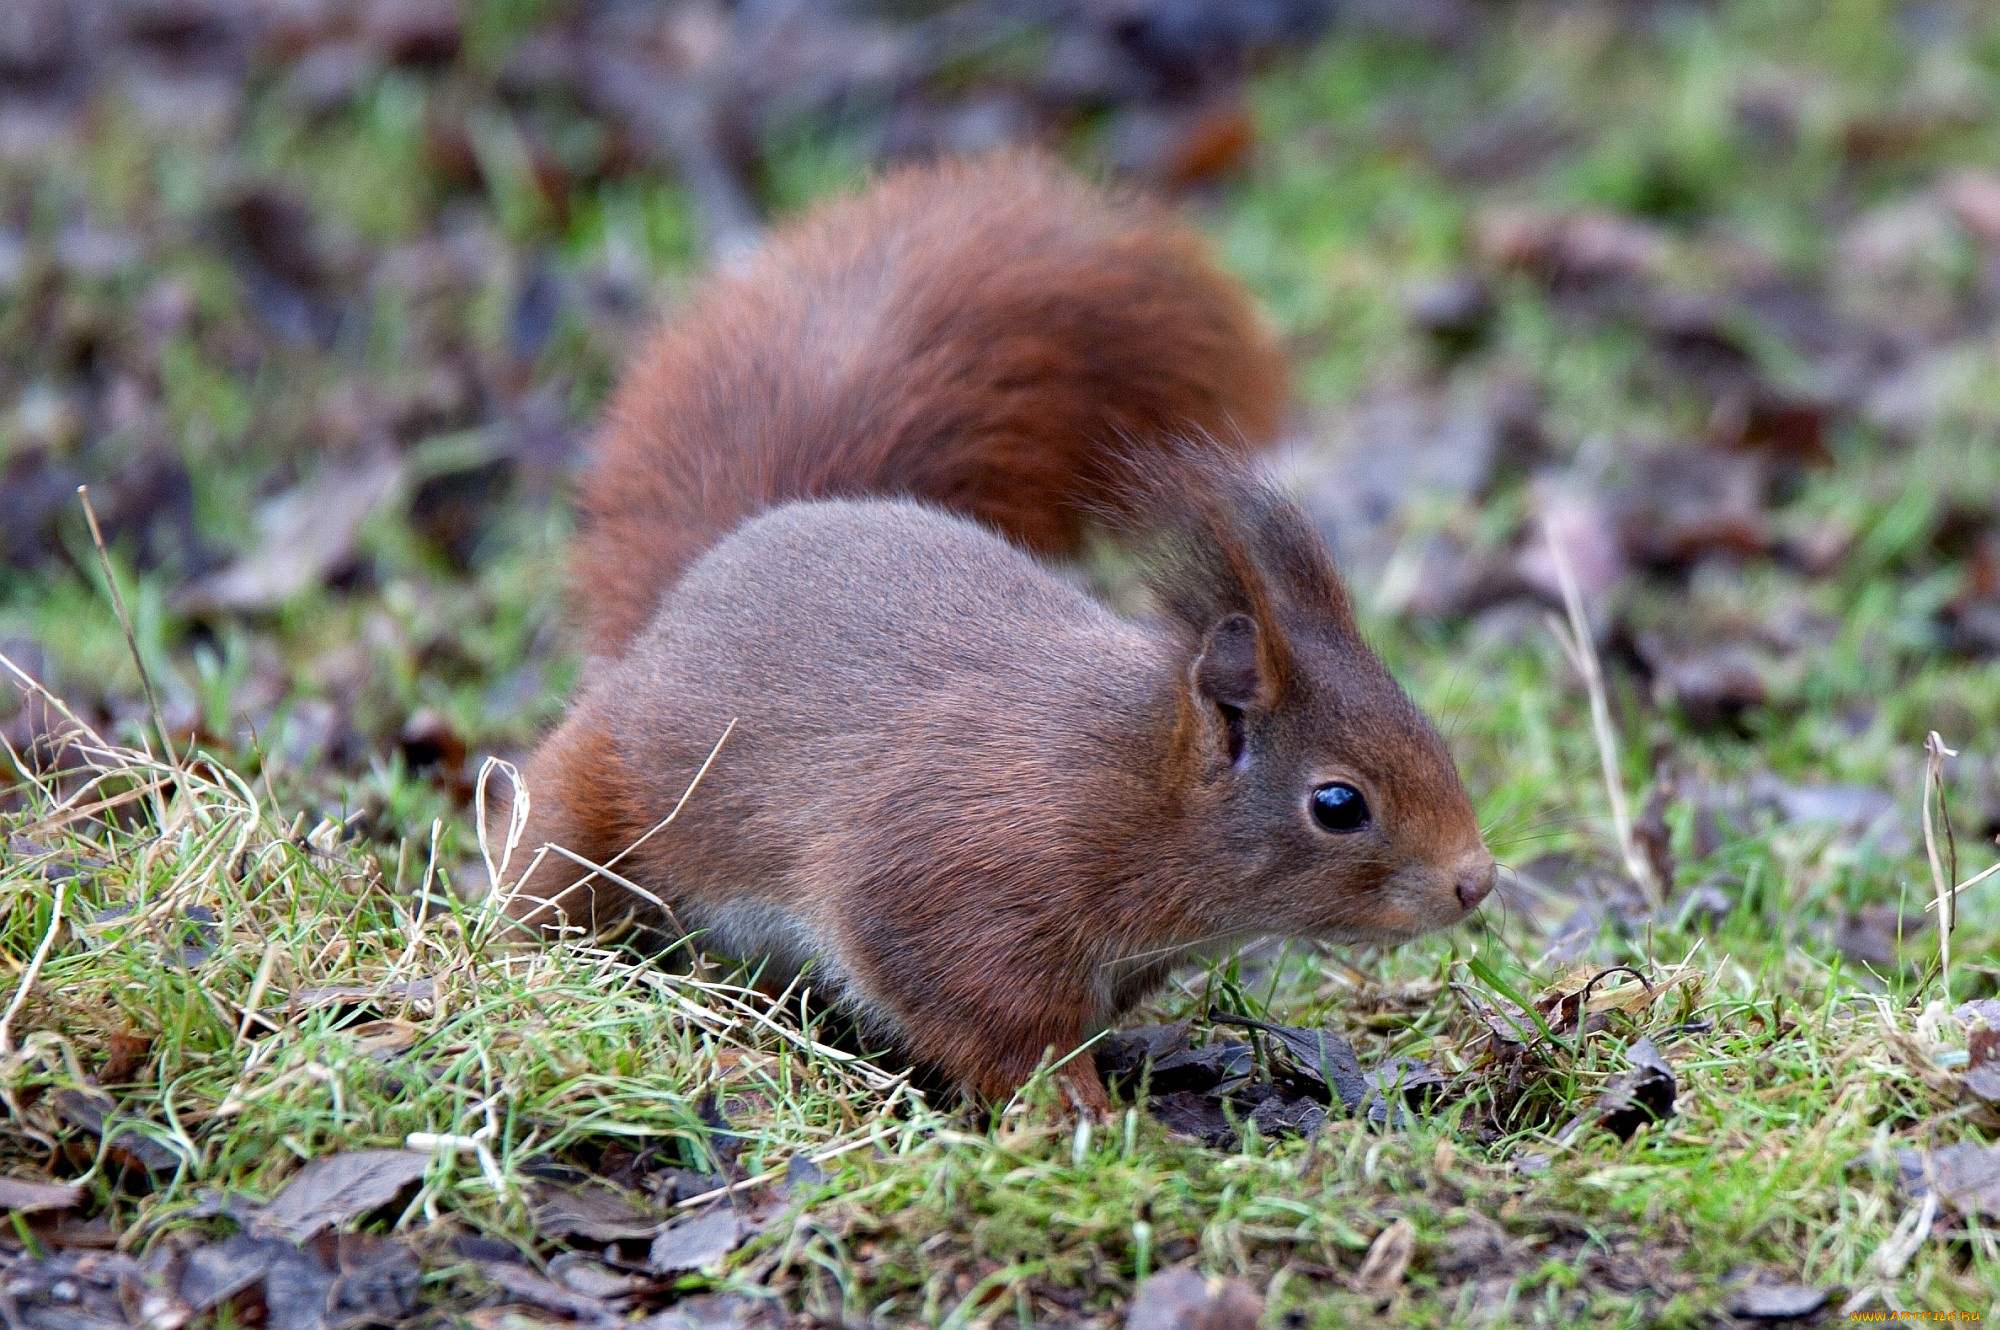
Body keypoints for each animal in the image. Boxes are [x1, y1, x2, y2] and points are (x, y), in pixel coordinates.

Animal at [500, 153, 1504, 1112]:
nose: (1476, 881)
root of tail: (700, 575)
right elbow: (989, 1019)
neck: (1133, 785)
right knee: (552, 863)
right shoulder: (960, 878)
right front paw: (1073, 1109)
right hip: (612, 794)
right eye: (1338, 804)